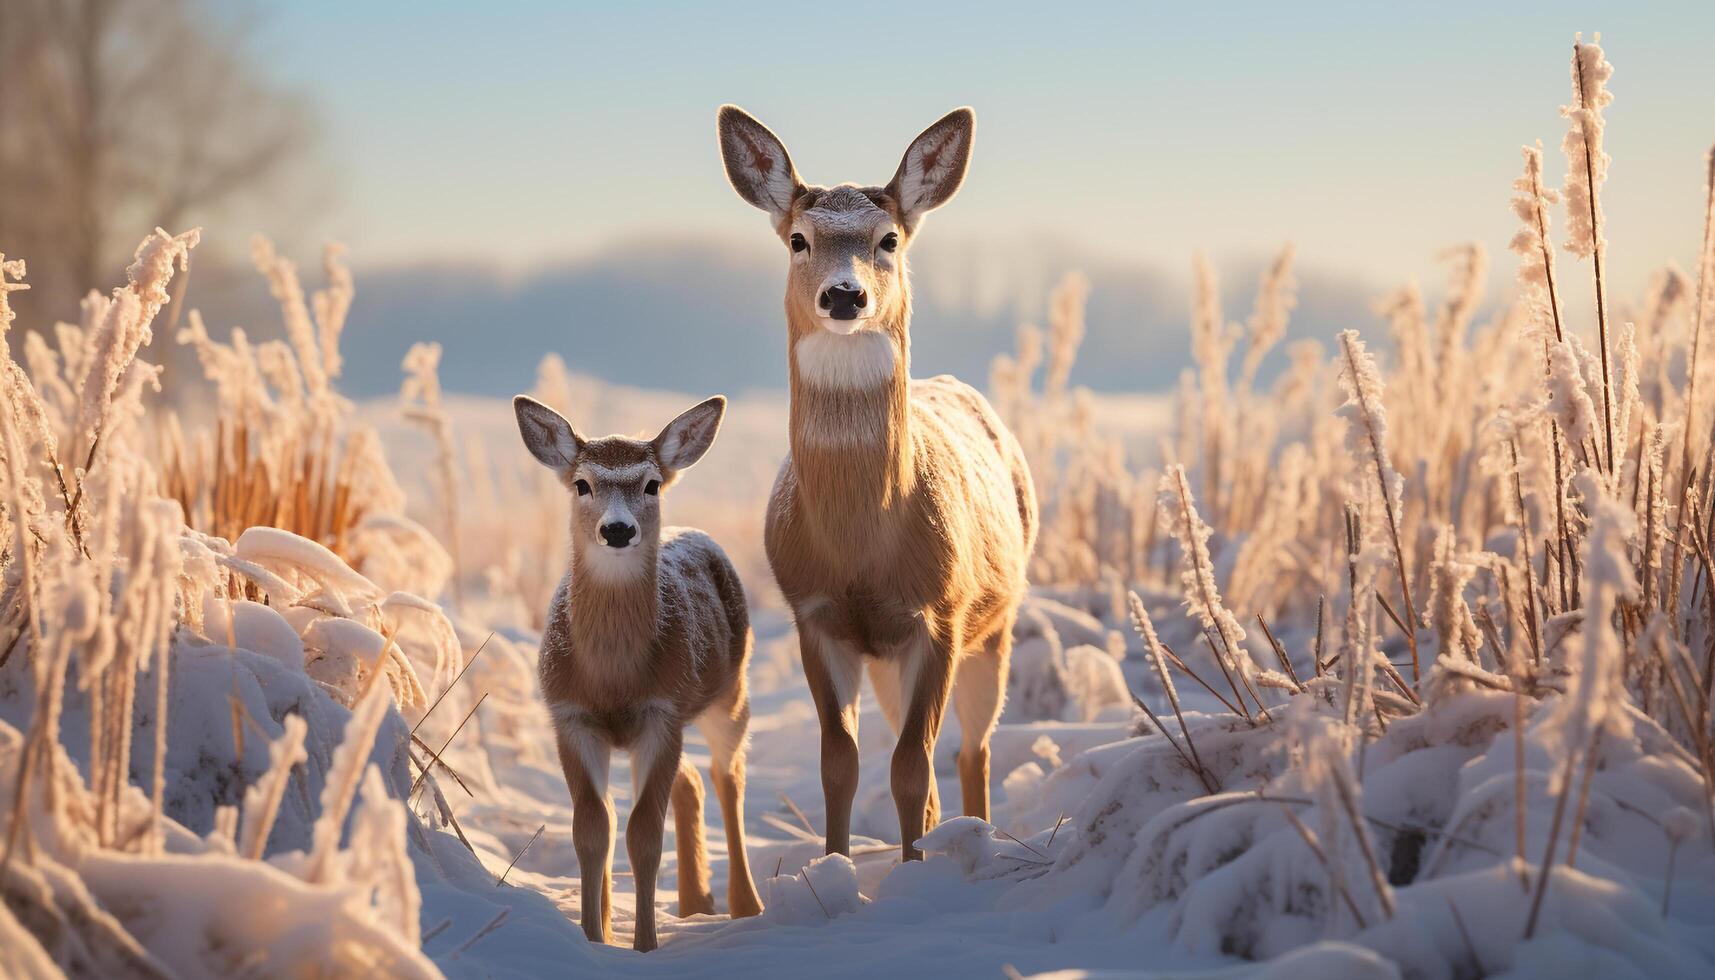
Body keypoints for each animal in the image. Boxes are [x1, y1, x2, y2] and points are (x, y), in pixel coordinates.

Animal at [720, 103, 1035, 861]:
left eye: (887, 238)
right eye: (798, 240)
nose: (844, 294)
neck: (862, 544)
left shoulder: (939, 612)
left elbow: (912, 765)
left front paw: (914, 869)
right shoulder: (815, 613)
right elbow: (841, 762)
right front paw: (835, 866)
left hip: (997, 625)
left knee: (972, 750)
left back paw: (975, 836)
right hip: (891, 659)